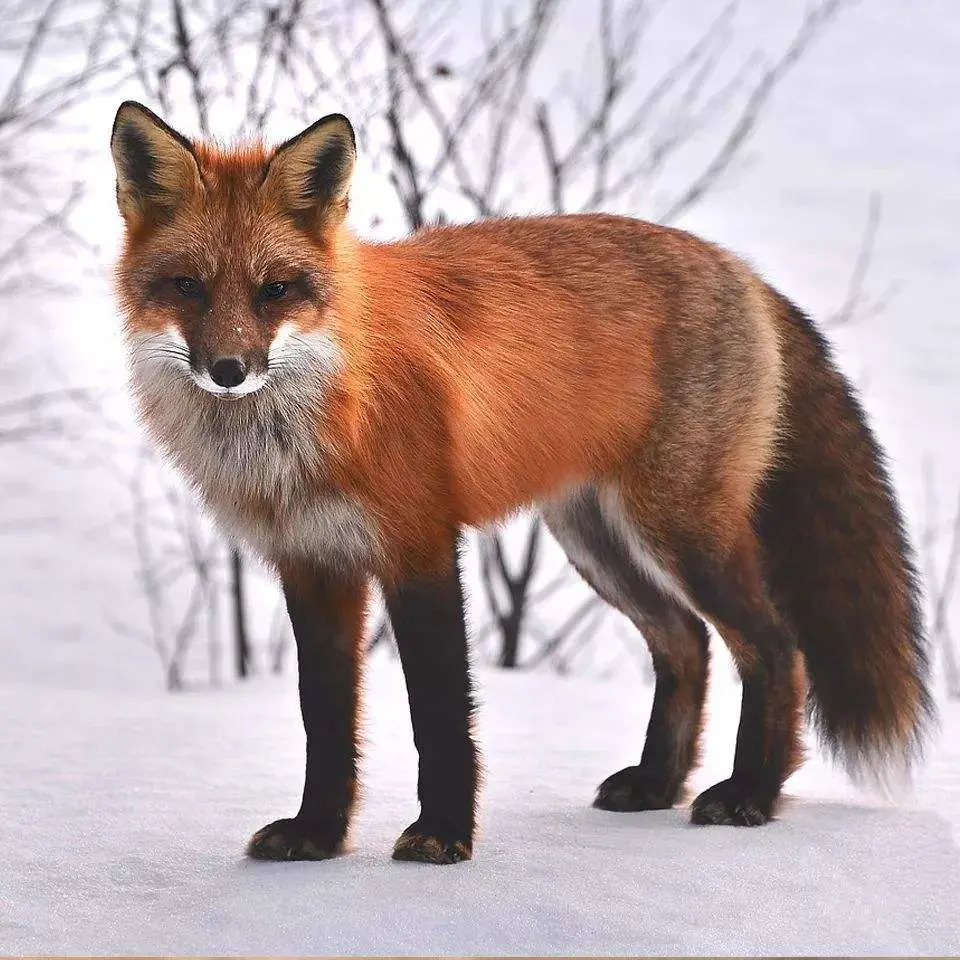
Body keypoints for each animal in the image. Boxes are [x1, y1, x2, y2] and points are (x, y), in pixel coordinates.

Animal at [110, 101, 928, 868]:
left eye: (275, 290)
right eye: (187, 286)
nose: (228, 370)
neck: (316, 416)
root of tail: (740, 269)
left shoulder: (420, 547)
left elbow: (439, 714)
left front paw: (442, 836)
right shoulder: (313, 566)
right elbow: (326, 722)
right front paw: (317, 835)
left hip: (681, 531)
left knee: (775, 646)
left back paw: (752, 792)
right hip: (596, 541)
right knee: (686, 642)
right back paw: (658, 784)